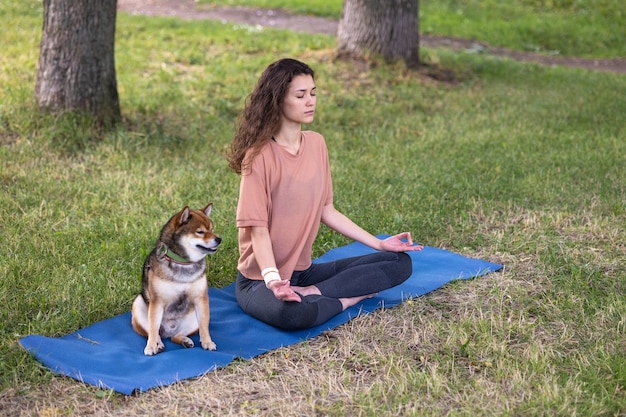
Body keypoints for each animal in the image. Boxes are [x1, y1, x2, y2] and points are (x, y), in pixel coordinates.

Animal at [131, 202, 219, 354]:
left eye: (212, 229)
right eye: (200, 232)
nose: (219, 239)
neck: (183, 263)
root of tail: (169, 331)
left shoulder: (201, 299)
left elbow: (204, 326)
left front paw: (207, 342)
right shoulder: (157, 302)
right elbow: (153, 328)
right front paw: (151, 346)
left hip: (192, 317)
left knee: (176, 336)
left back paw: (184, 340)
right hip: (139, 305)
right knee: (154, 332)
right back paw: (158, 344)